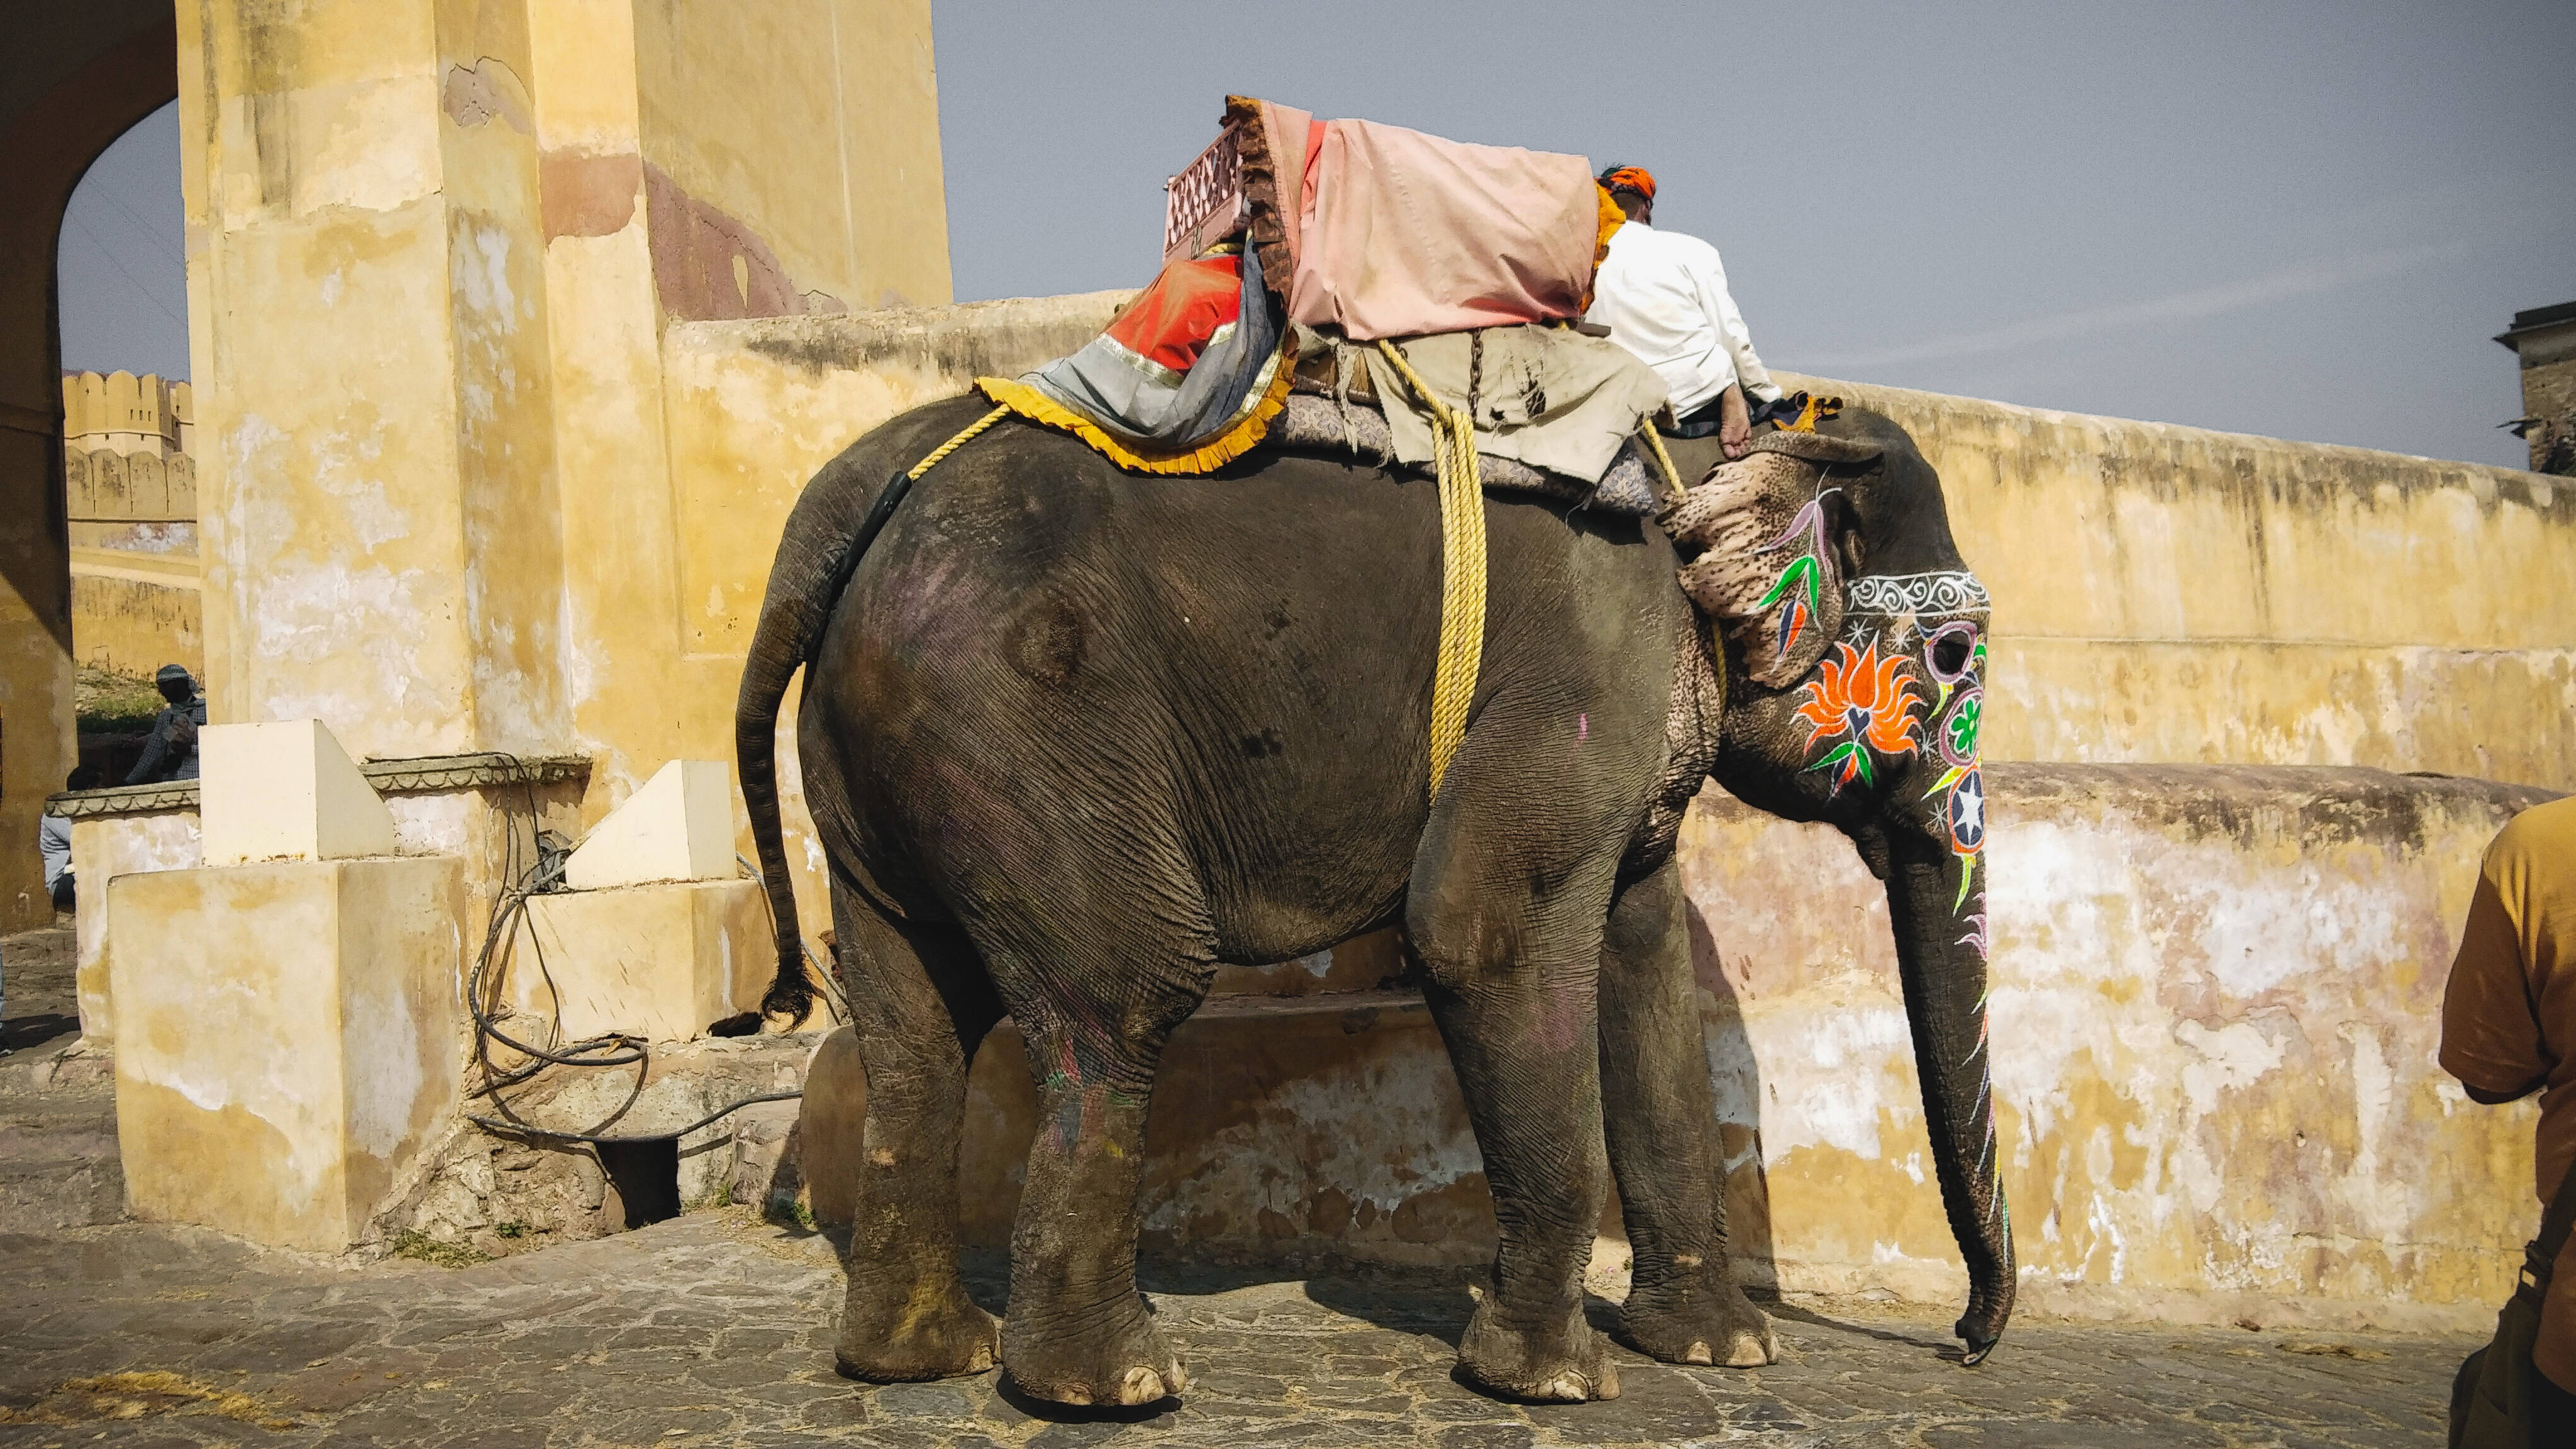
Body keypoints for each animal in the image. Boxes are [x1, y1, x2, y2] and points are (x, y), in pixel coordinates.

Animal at [736, 393, 2010, 1408]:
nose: (1965, 1341)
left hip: (888, 760)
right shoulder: (1591, 668)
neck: (1705, 450)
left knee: (916, 1026)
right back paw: (1116, 1388)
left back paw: (919, 1361)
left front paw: (1722, 1355)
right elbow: (1479, 929)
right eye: (1953, 657)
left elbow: (1644, 962)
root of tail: (841, 506)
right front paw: (1552, 1383)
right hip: (1017, 716)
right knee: (1126, 992)